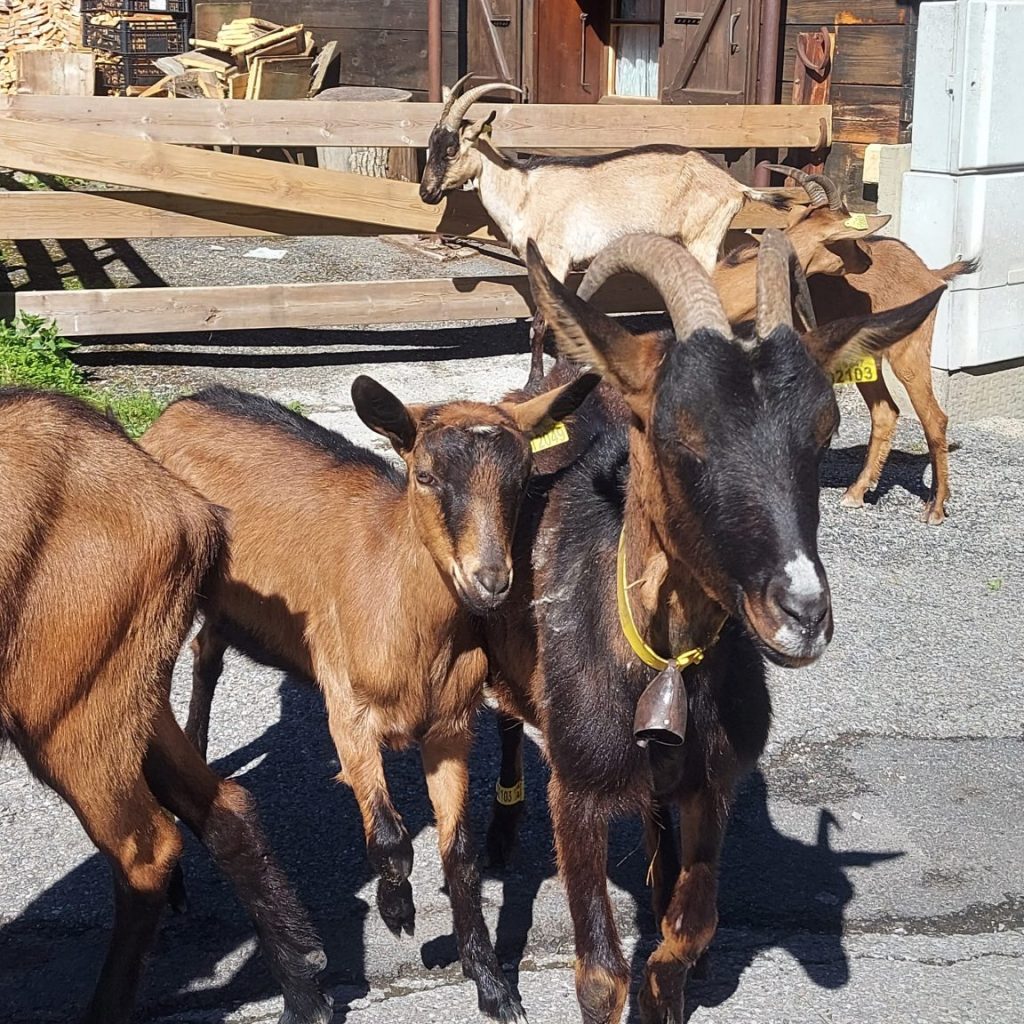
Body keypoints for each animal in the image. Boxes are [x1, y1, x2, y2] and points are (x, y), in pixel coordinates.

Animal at [0, 388, 330, 1024]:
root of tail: (185, 509)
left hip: (62, 711)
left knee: (146, 849)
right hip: (124, 686)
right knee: (224, 804)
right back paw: (305, 987)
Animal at [140, 375, 597, 1023]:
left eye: (524, 476)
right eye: (425, 475)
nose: (490, 581)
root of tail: (185, 406)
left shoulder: (450, 726)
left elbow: (459, 855)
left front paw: (492, 985)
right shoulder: (348, 709)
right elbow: (389, 836)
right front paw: (397, 911)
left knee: (209, 652)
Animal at [419, 74, 790, 384]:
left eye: (451, 149)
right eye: (430, 145)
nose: (426, 193)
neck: (524, 192)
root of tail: (735, 186)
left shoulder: (554, 258)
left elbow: (541, 321)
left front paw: (534, 381)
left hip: (703, 237)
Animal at [477, 233, 944, 1024]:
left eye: (824, 433)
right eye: (677, 434)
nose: (803, 613)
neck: (662, 660)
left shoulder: (713, 784)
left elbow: (690, 930)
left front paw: (670, 977)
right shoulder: (576, 790)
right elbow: (600, 974)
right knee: (509, 719)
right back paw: (501, 830)